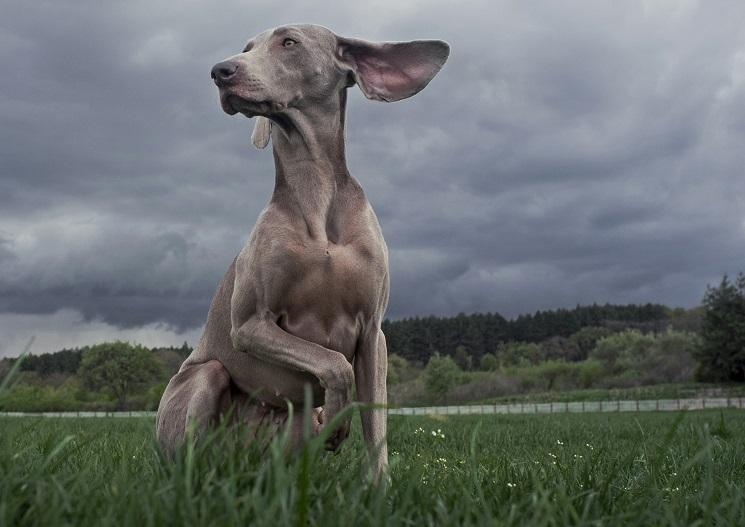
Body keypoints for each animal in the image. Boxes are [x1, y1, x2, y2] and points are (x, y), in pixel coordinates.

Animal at [156, 21, 448, 478]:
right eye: (246, 47)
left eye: (288, 41)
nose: (220, 71)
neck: (316, 192)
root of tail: (241, 458)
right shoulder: (250, 325)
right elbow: (334, 365)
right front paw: (338, 426)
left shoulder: (373, 331)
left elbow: (374, 415)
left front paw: (377, 482)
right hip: (204, 378)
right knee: (192, 451)